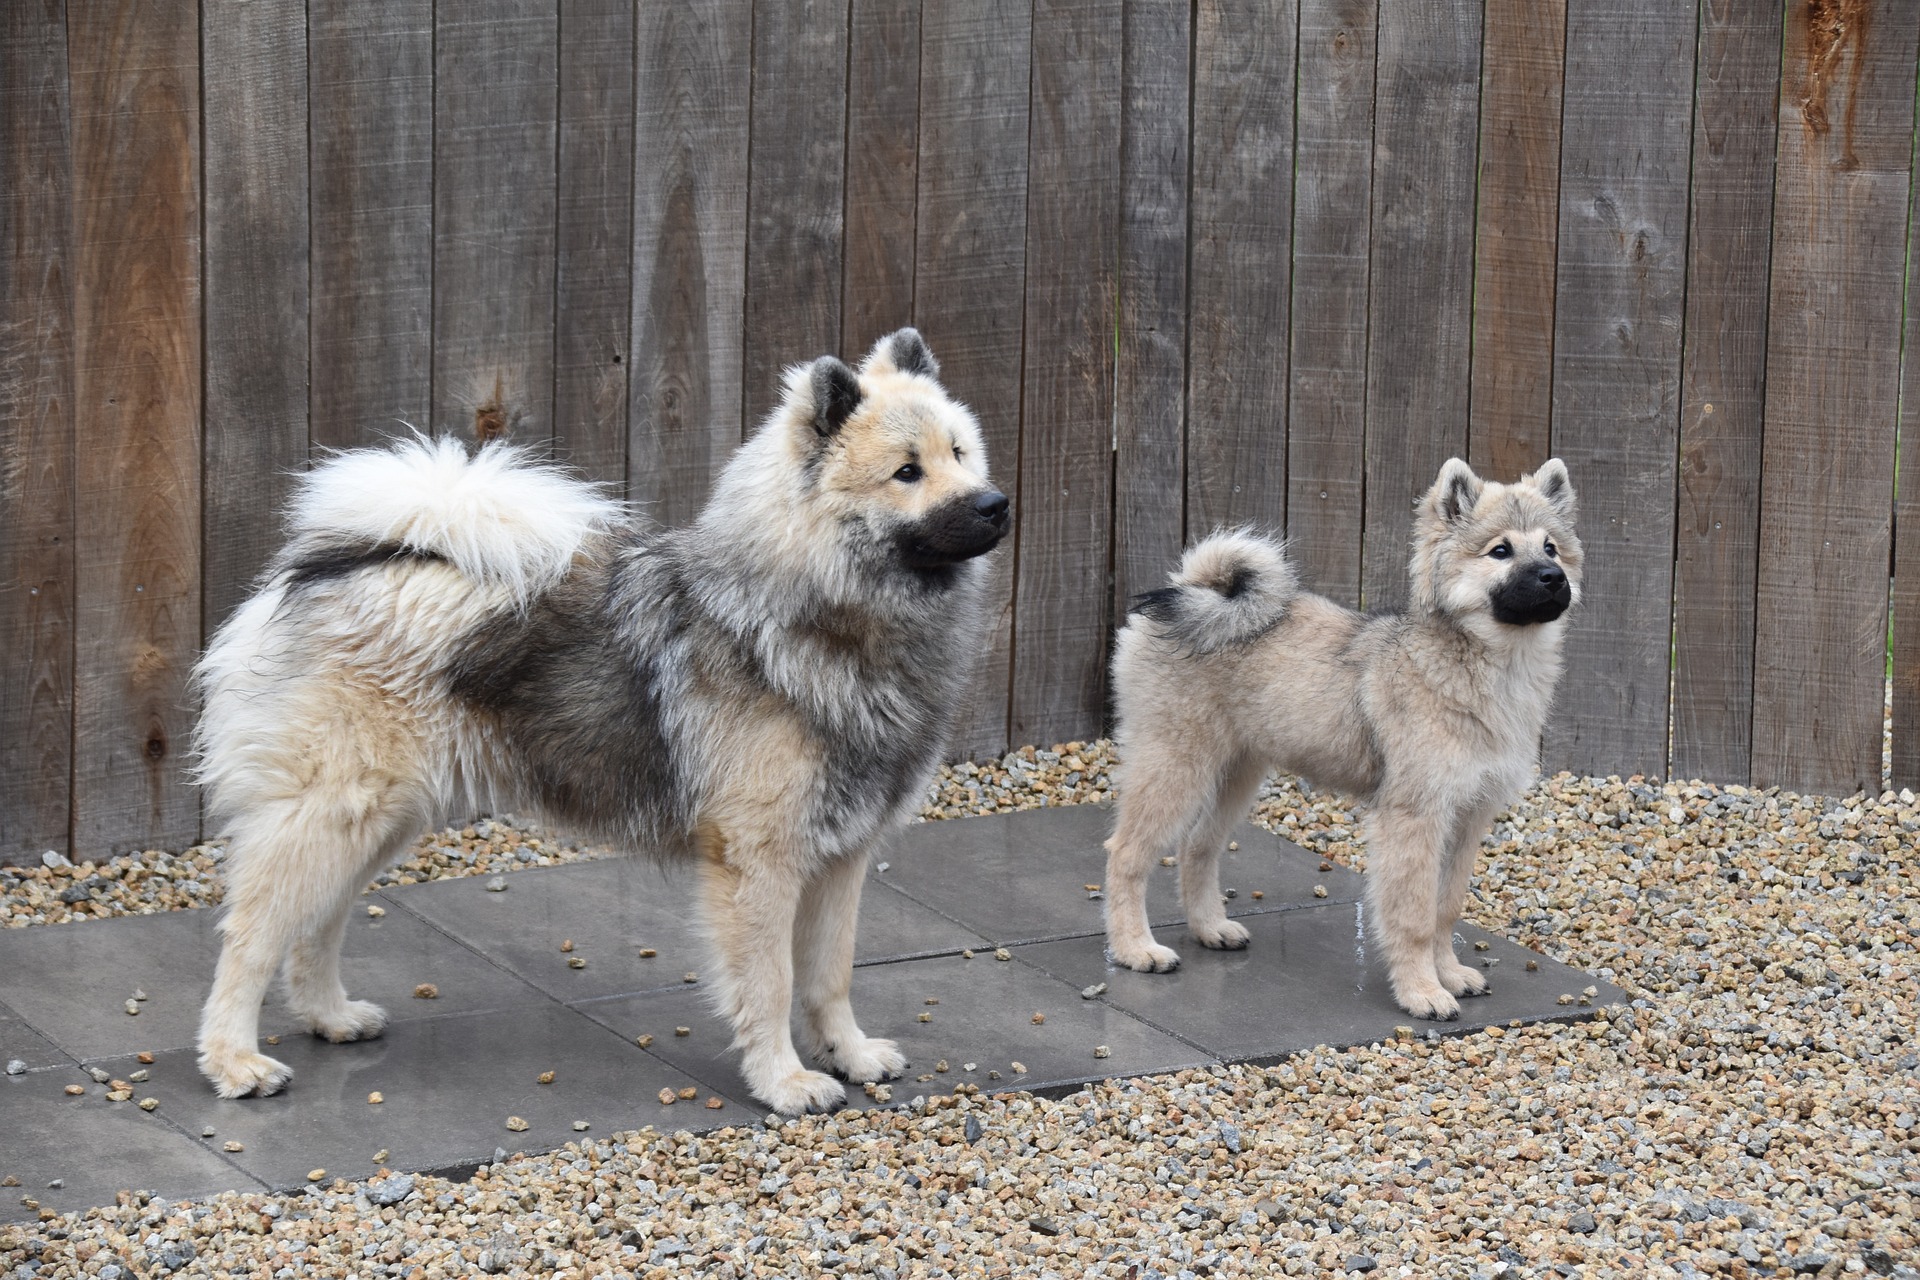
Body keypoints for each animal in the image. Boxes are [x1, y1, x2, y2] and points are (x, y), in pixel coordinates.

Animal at [191, 333, 1006, 1120]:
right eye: (907, 472)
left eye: (961, 453)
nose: (996, 503)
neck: (811, 614)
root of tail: (346, 562)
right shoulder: (760, 862)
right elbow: (770, 982)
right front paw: (784, 1081)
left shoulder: (841, 856)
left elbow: (830, 973)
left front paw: (851, 1054)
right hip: (337, 810)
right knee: (249, 935)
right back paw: (234, 1061)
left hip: (380, 819)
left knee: (317, 922)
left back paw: (329, 1016)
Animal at [1105, 460, 1582, 1020]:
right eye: (1501, 551)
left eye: (1551, 548)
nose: (1553, 578)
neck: (1480, 667)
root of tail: (1192, 593)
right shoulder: (1414, 818)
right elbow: (1415, 916)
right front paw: (1421, 991)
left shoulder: (1468, 817)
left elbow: (1446, 908)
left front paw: (1448, 973)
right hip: (1174, 766)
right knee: (1127, 853)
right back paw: (1136, 948)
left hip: (1236, 775)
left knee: (1198, 846)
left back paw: (1210, 928)